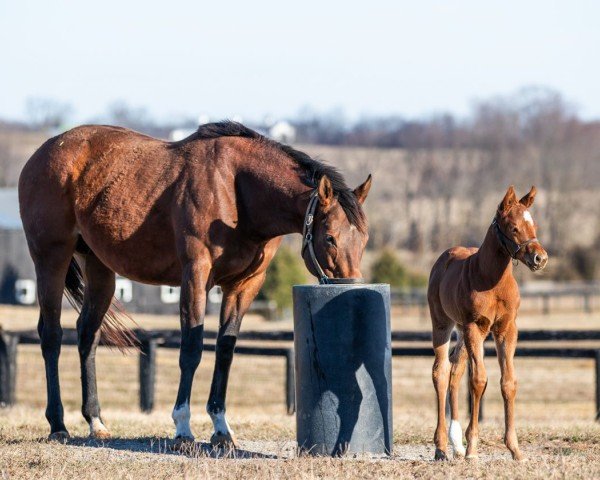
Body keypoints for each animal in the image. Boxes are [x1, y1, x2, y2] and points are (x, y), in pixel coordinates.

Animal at [426, 186, 548, 460]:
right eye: (513, 227)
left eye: (533, 225)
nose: (540, 258)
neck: (492, 280)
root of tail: (444, 258)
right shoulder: (476, 328)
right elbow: (479, 380)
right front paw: (473, 448)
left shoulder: (506, 330)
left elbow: (508, 382)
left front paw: (515, 449)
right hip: (443, 325)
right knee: (441, 373)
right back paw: (441, 447)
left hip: (462, 332)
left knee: (455, 371)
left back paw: (456, 444)